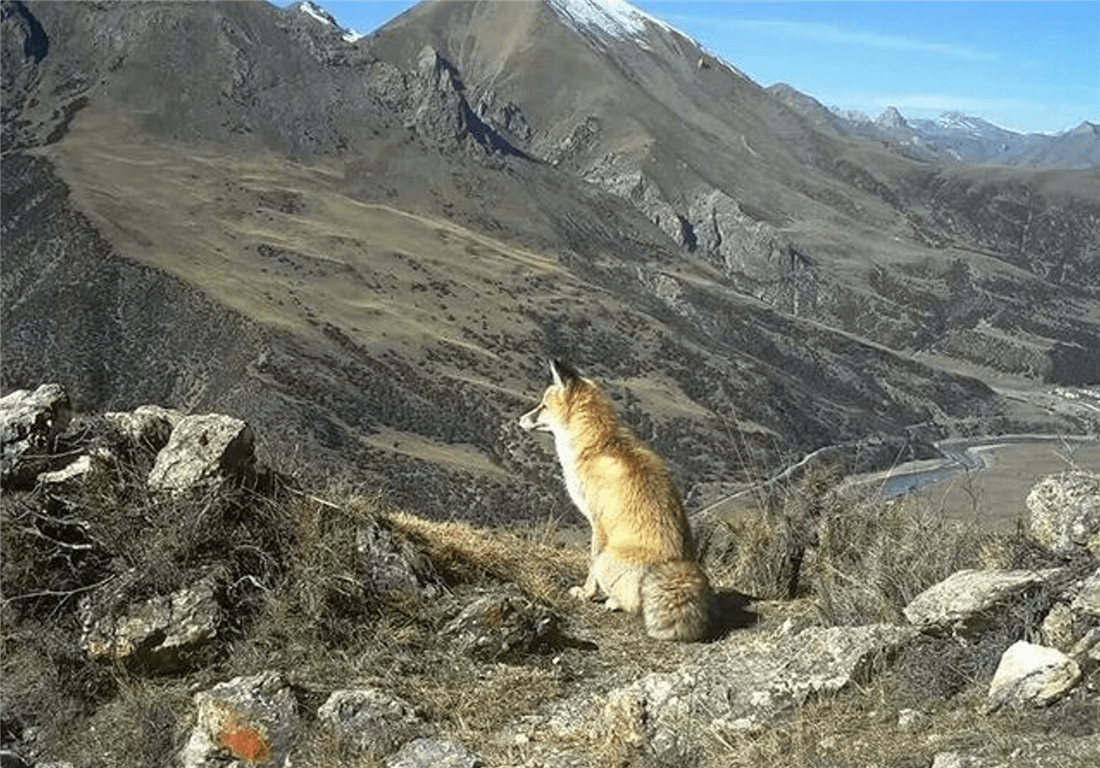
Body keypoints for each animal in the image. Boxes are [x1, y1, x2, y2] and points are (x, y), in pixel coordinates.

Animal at [517, 358, 708, 638]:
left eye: (543, 406)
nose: (520, 420)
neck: (596, 446)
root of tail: (677, 564)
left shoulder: (598, 523)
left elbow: (590, 566)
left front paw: (586, 593)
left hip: (607, 558)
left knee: (631, 602)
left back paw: (613, 601)